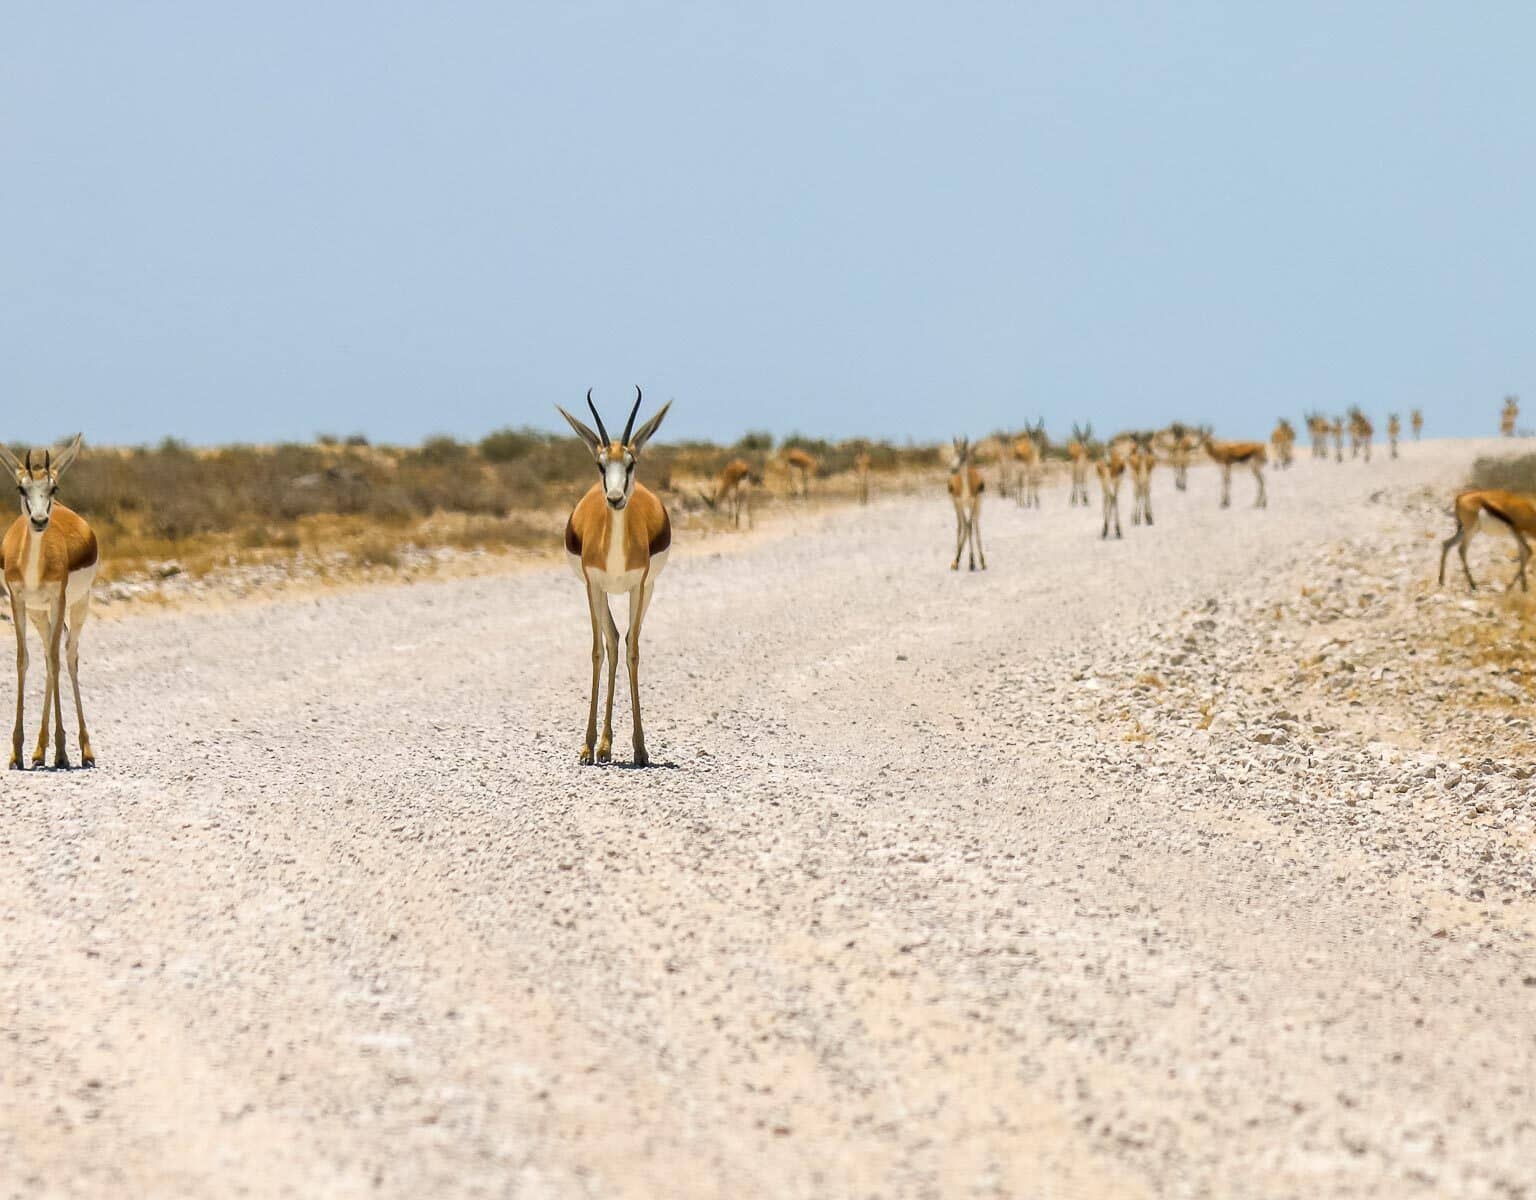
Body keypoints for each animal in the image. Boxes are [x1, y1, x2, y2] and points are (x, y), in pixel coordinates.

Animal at [0, 433, 97, 768]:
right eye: (21, 488)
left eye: (53, 488)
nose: (40, 520)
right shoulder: (17, 600)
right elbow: (22, 660)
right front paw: (17, 752)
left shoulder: (59, 598)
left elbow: (56, 661)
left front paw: (63, 751)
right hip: (39, 613)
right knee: (46, 657)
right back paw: (40, 751)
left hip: (78, 605)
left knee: (67, 656)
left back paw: (82, 751)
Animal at [556, 390, 669, 768]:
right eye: (600, 464)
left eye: (631, 463)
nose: (615, 498)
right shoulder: (593, 585)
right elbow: (596, 651)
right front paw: (587, 747)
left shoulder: (638, 585)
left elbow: (634, 650)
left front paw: (640, 748)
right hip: (601, 593)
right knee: (611, 641)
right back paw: (603, 746)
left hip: (647, 590)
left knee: (623, 640)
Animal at [940, 439, 989, 571]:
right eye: (954, 453)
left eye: (963, 456)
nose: (953, 469)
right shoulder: (959, 503)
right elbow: (965, 526)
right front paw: (958, 562)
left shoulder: (973, 502)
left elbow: (971, 526)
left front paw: (973, 563)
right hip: (956, 505)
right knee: (961, 525)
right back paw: (956, 562)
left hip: (977, 506)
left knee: (974, 525)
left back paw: (981, 562)